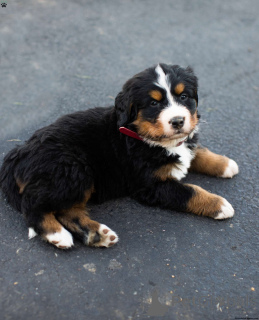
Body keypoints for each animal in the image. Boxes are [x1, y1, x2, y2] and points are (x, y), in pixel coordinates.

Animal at [0, 63, 240, 249]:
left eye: (183, 96)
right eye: (154, 103)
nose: (178, 121)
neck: (144, 136)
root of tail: (17, 155)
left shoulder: (184, 146)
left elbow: (197, 151)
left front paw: (225, 164)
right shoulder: (150, 185)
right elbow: (190, 191)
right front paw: (219, 204)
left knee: (69, 211)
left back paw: (98, 235)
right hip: (72, 169)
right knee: (33, 206)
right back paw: (57, 235)